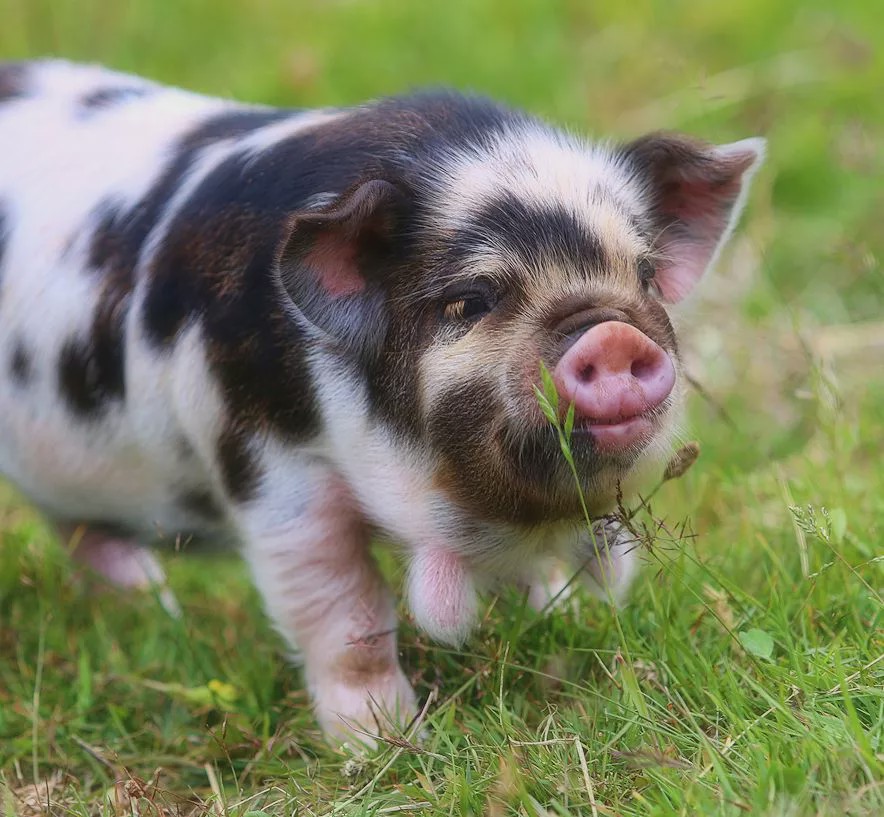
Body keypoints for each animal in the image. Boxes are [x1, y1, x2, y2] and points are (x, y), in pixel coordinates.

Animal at [0, 60, 760, 744]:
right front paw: (386, 744)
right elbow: (346, 614)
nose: (611, 334)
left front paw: (564, 622)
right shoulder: (272, 469)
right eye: (470, 299)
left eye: (646, 276)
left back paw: (155, 606)